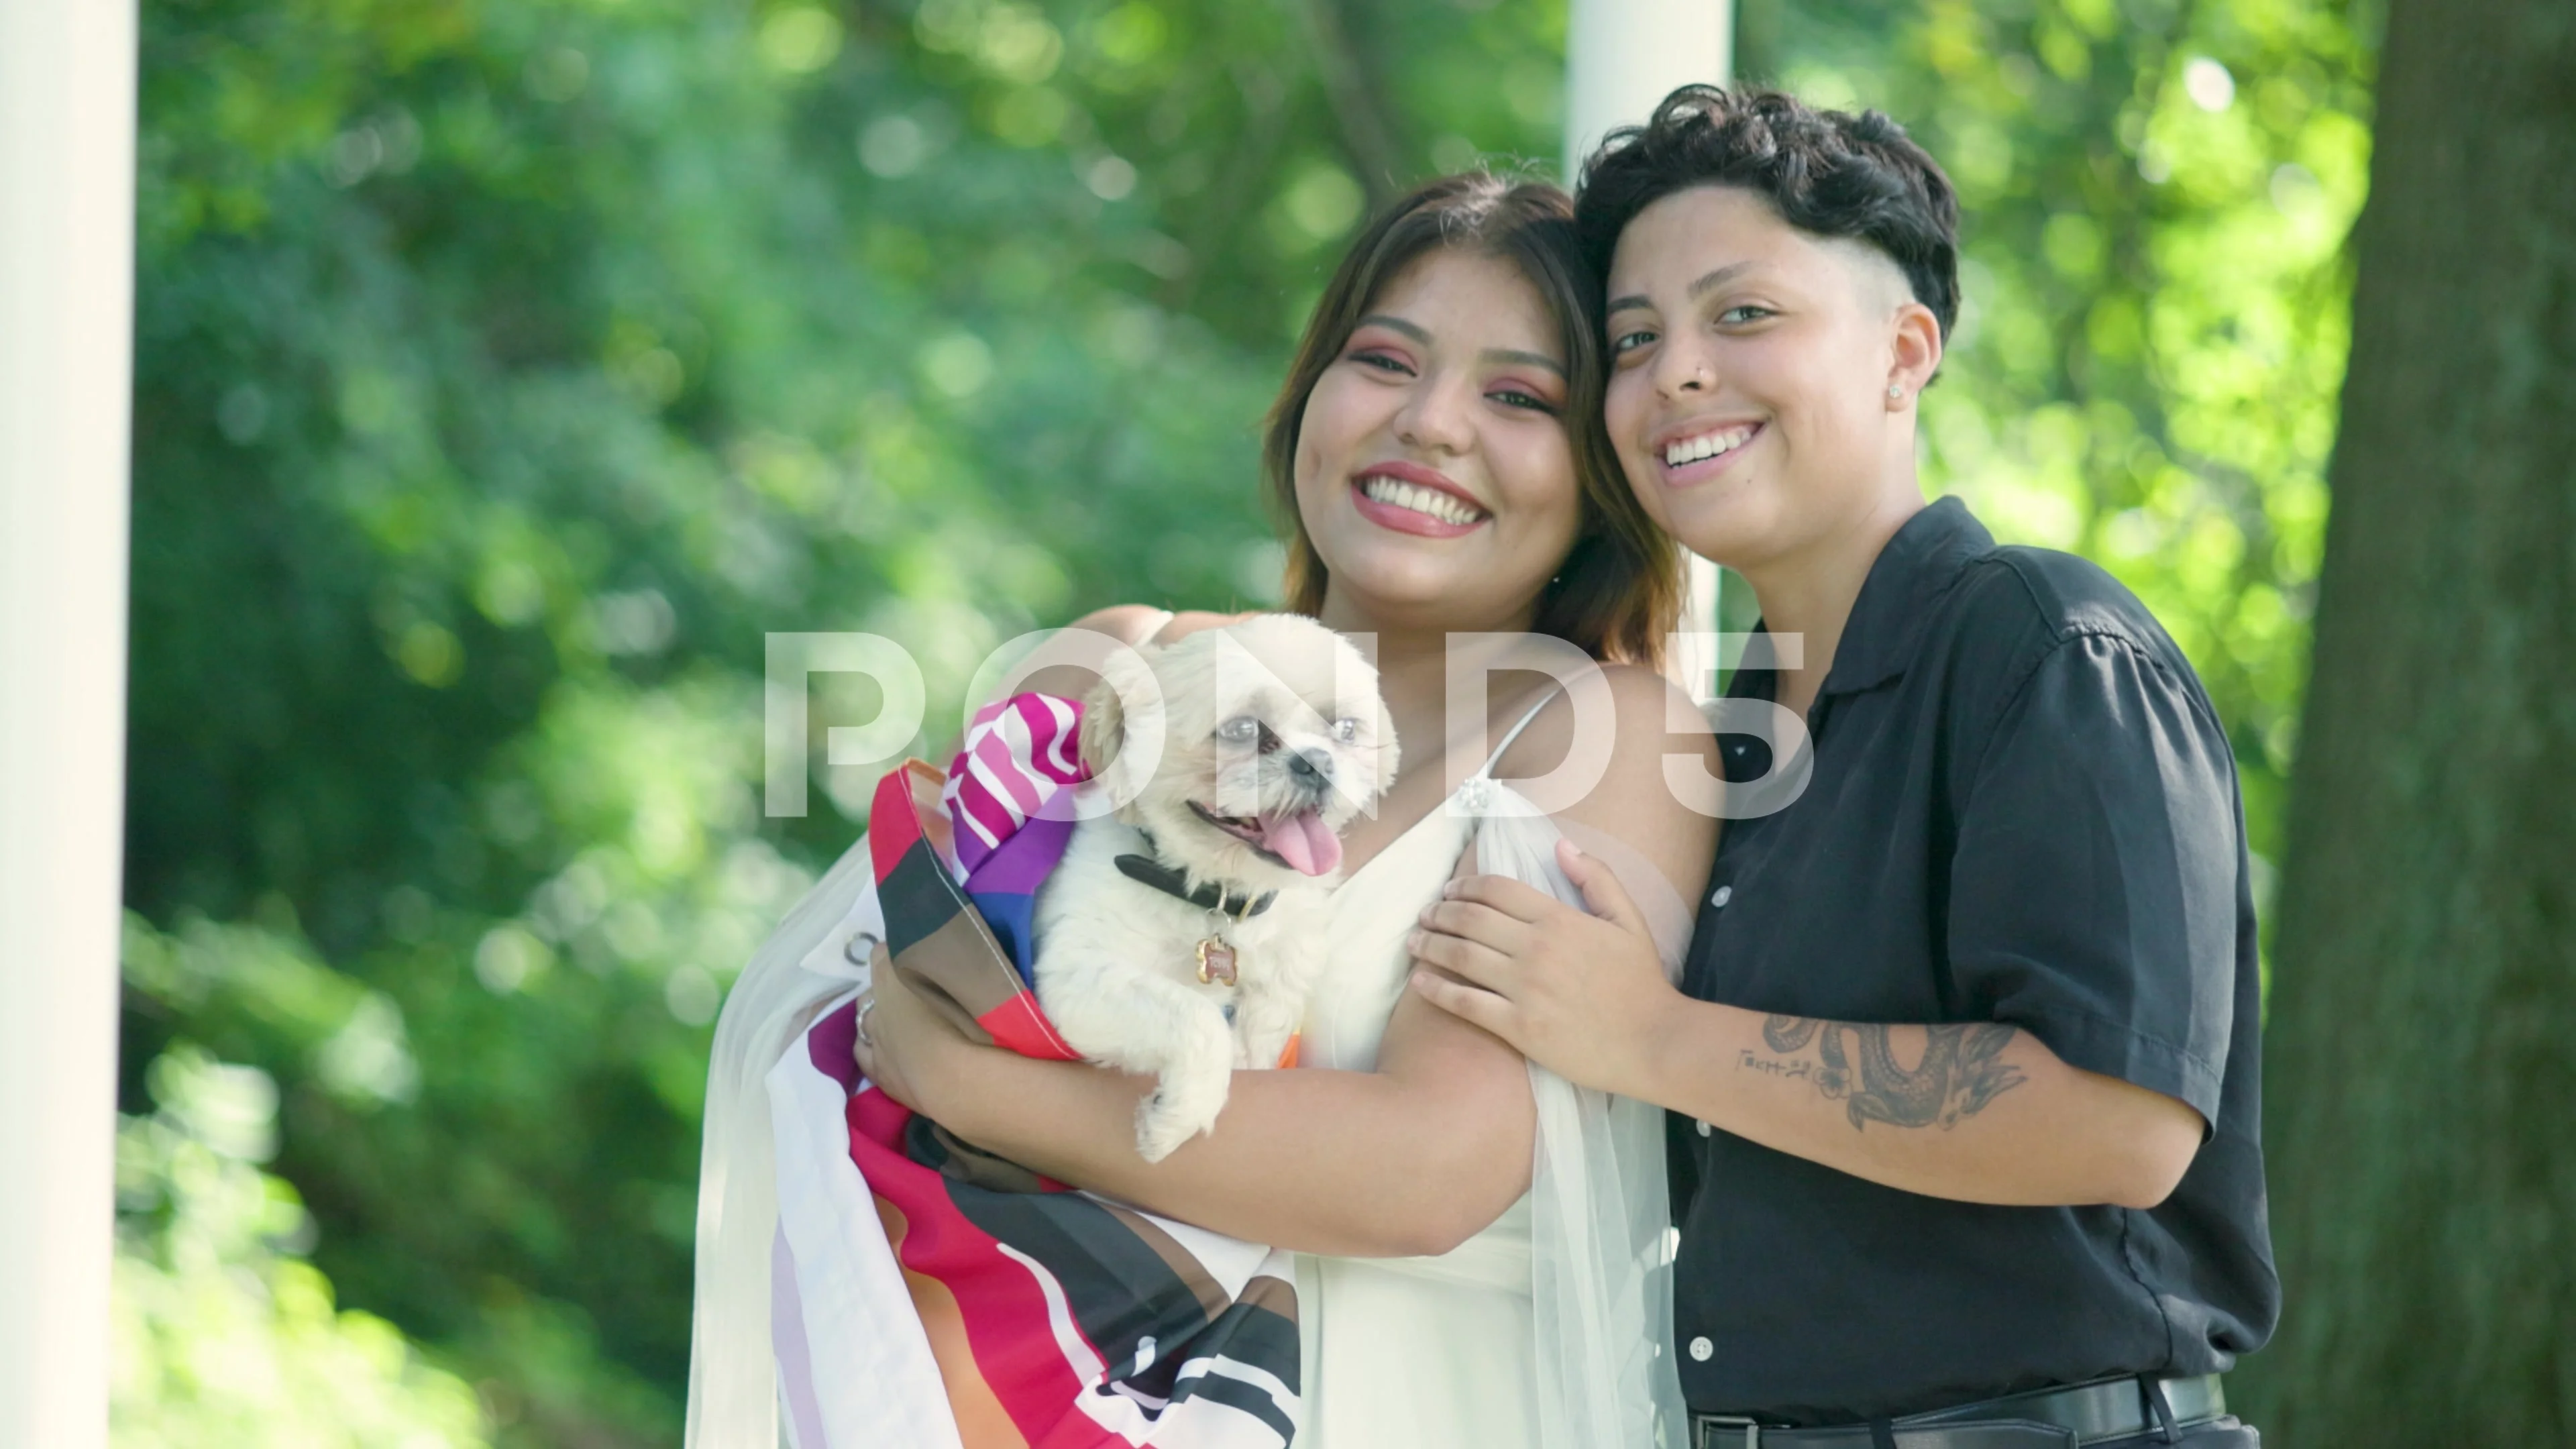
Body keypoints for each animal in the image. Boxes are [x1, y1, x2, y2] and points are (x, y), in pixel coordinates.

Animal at [1030, 613, 1401, 1155]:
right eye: (1242, 729)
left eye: (1345, 729)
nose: (1316, 762)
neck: (1216, 896)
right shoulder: (1074, 980)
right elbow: (1199, 1020)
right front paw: (1176, 1118)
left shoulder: (1276, 991)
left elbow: (1255, 1041)